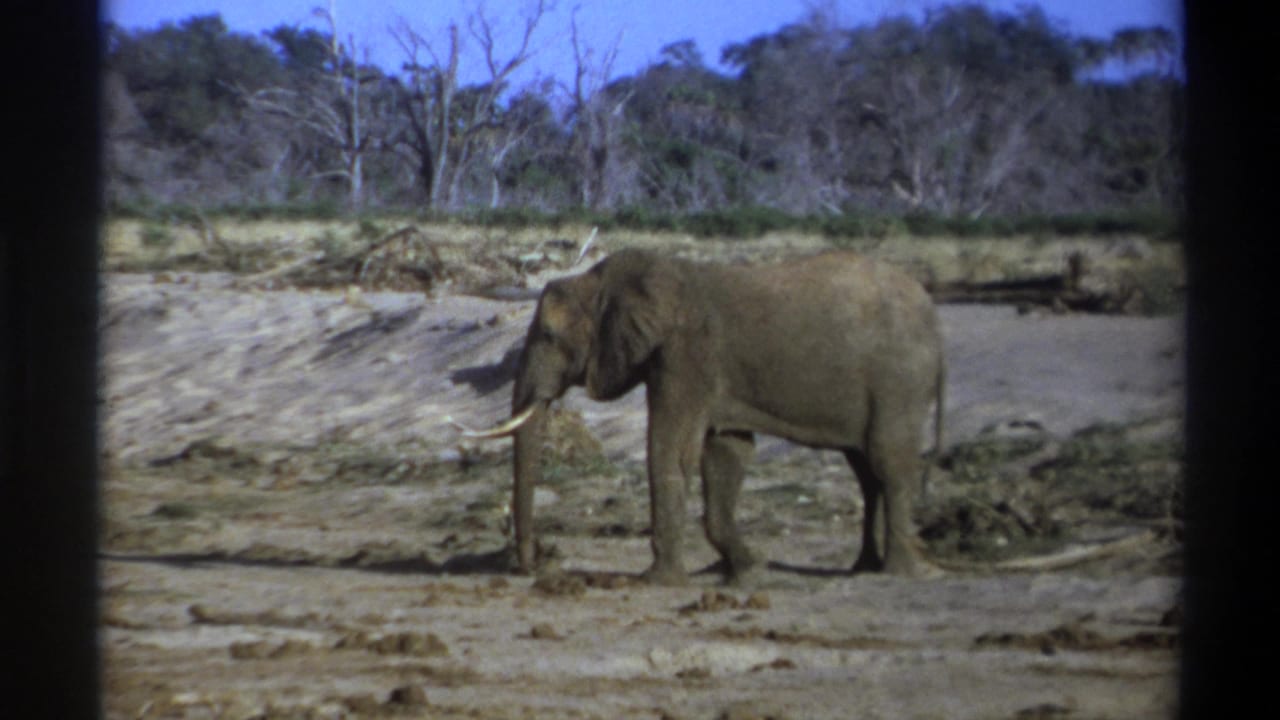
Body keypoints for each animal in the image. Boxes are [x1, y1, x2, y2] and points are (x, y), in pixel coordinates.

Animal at [467, 248, 945, 585]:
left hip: (898, 381)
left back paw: (901, 573)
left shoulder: (686, 355)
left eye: (549, 335)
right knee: (866, 472)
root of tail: (932, 314)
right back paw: (864, 567)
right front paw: (749, 569)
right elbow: (725, 457)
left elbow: (671, 449)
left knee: (889, 463)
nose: (534, 565)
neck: (602, 280)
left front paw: (660, 581)